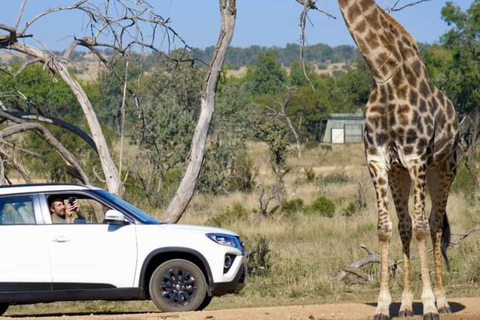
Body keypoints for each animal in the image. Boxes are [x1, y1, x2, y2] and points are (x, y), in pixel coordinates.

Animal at [336, 0, 460, 320]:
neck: (385, 75)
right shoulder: (378, 160)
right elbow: (385, 228)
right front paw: (383, 305)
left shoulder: (416, 157)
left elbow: (421, 228)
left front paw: (428, 305)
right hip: (399, 174)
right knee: (406, 225)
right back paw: (405, 305)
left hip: (444, 169)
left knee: (434, 224)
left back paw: (442, 301)